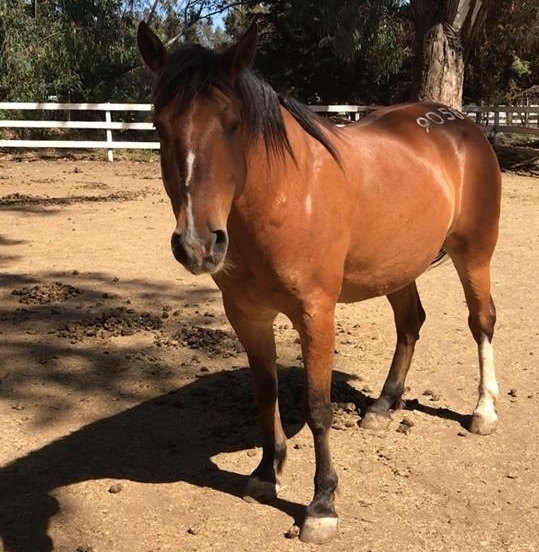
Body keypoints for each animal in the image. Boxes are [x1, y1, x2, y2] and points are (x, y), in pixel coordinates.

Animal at [137, 20, 504, 544]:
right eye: (158, 126)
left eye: (233, 124)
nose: (198, 244)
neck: (285, 194)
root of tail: (459, 123)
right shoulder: (246, 315)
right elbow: (265, 392)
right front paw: (265, 474)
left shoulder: (316, 313)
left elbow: (317, 406)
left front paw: (322, 505)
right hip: (397, 266)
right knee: (410, 322)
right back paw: (383, 406)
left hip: (473, 252)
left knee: (481, 321)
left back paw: (483, 411)